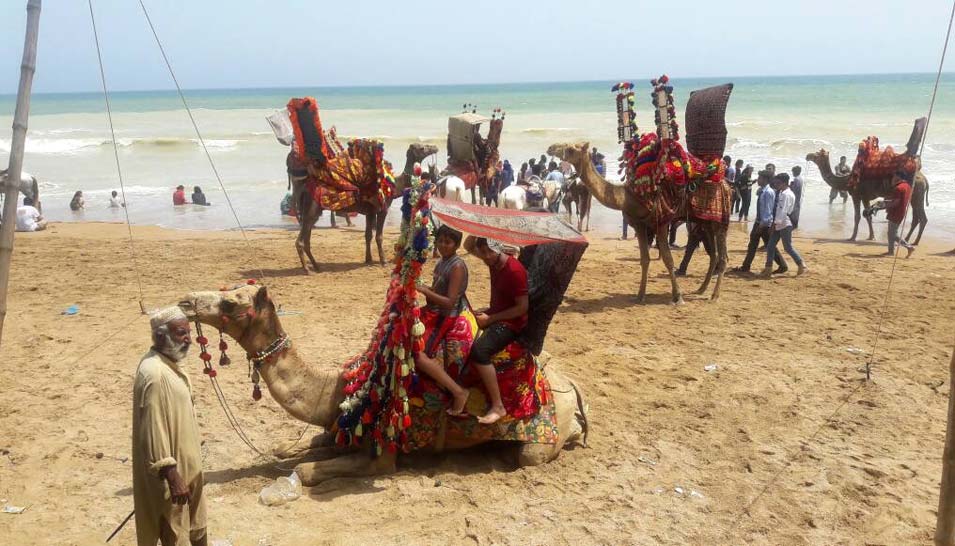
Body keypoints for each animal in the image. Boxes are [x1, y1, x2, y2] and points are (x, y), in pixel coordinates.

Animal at [176, 282, 588, 482]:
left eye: (230, 303)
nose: (185, 302)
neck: (341, 389)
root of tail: (569, 384)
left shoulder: (383, 455)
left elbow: (307, 472)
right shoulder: (339, 426)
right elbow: (296, 447)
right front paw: (289, 448)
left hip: (538, 439)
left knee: (529, 453)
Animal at [548, 141, 728, 302]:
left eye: (571, 148)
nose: (551, 148)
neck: (628, 196)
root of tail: (727, 185)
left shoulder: (661, 222)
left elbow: (668, 260)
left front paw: (678, 297)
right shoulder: (640, 225)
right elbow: (644, 259)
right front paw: (640, 296)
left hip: (720, 221)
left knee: (723, 257)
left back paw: (714, 296)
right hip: (705, 221)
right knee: (714, 255)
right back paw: (701, 289)